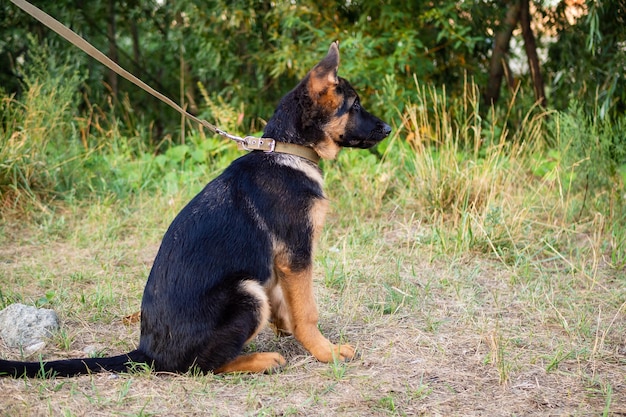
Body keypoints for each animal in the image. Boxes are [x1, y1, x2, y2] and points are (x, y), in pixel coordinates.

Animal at [0, 42, 388, 376]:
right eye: (354, 105)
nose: (386, 128)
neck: (288, 150)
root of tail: (147, 352)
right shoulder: (296, 254)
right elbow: (307, 311)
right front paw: (325, 351)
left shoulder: (281, 261)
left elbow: (286, 300)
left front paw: (288, 327)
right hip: (246, 294)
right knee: (200, 366)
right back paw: (260, 360)